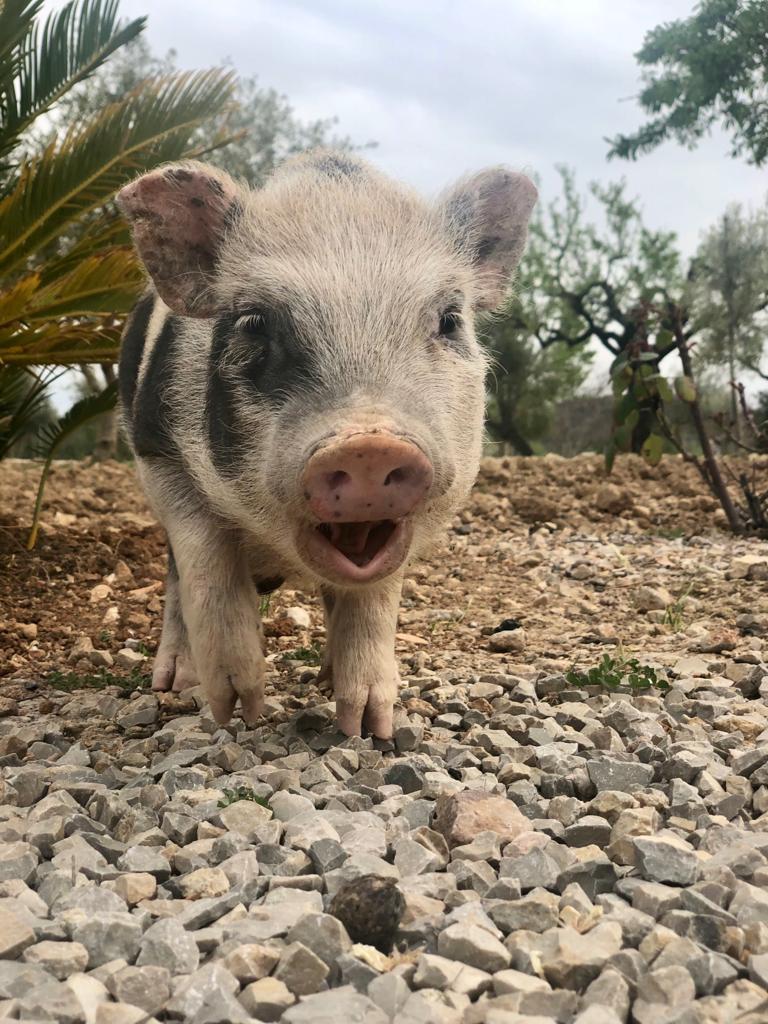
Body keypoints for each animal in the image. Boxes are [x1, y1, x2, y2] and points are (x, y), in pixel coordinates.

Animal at [115, 149, 536, 737]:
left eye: (450, 319)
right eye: (254, 322)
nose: (369, 444)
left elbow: (373, 599)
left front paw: (368, 726)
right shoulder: (156, 453)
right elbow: (207, 563)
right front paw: (239, 713)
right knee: (178, 578)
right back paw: (174, 685)